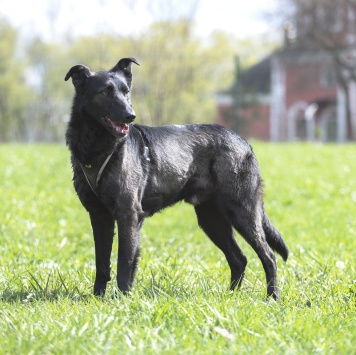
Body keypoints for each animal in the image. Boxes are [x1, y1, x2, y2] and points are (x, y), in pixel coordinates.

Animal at [64, 57, 288, 298]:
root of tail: (243, 141)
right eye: (105, 92)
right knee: (239, 259)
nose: (130, 116)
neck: (99, 147)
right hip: (212, 219)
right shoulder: (99, 215)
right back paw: (230, 297)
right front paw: (98, 298)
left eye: (126, 92)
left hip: (243, 212)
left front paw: (122, 298)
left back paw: (272, 297)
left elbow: (125, 261)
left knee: (269, 256)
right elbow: (102, 263)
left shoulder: (128, 214)